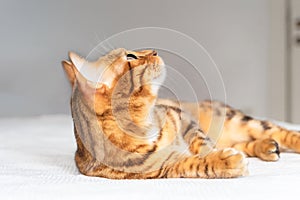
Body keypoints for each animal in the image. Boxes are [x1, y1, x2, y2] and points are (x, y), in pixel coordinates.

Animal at [61, 48, 300, 180]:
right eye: (130, 56)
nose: (155, 50)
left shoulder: (184, 119)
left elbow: (202, 143)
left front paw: (213, 153)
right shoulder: (161, 167)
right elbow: (193, 164)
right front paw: (225, 162)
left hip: (236, 119)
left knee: (280, 131)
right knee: (245, 143)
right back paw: (266, 147)